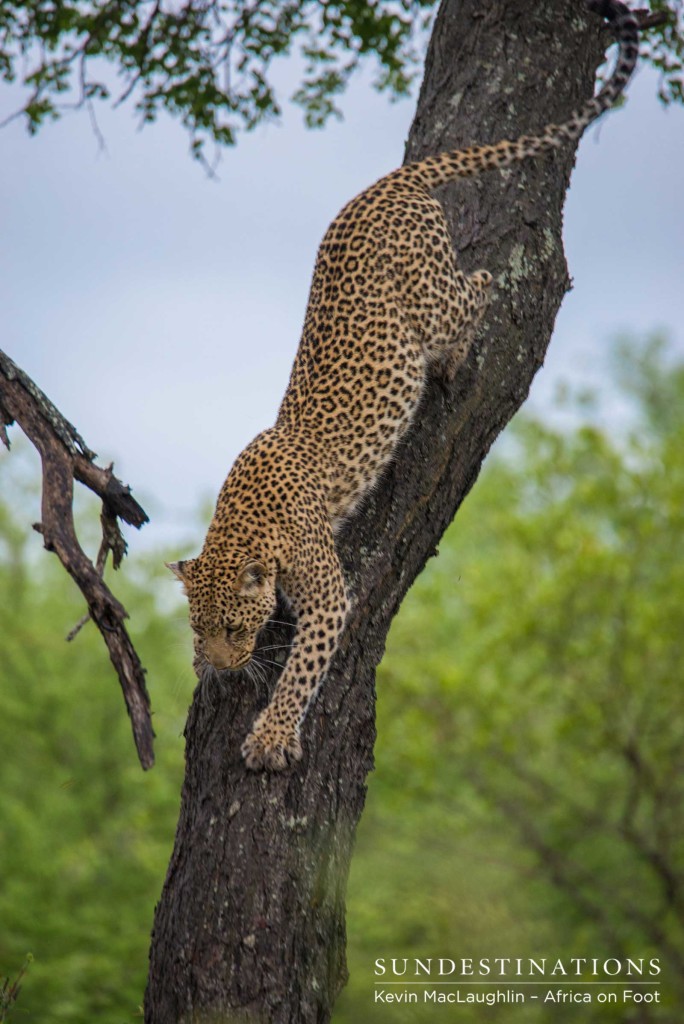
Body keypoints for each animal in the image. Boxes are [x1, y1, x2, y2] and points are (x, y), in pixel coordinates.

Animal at [167, 0, 638, 770]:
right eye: (199, 625)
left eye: (235, 626)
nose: (224, 663)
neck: (243, 522)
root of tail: (381, 187)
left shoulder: (329, 597)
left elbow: (301, 671)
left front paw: (271, 734)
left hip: (432, 305)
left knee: (482, 283)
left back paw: (457, 351)